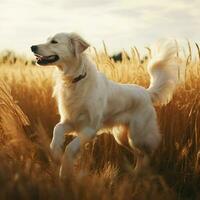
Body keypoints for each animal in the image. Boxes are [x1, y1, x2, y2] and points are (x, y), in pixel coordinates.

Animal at [30, 32, 178, 177]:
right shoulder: (70, 121)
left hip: (138, 135)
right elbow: (57, 129)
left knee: (148, 151)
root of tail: (147, 92)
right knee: (139, 154)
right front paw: (55, 152)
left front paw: (65, 171)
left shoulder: (90, 128)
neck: (75, 80)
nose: (32, 47)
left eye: (54, 42)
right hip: (122, 138)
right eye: (47, 39)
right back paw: (136, 174)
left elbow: (70, 148)